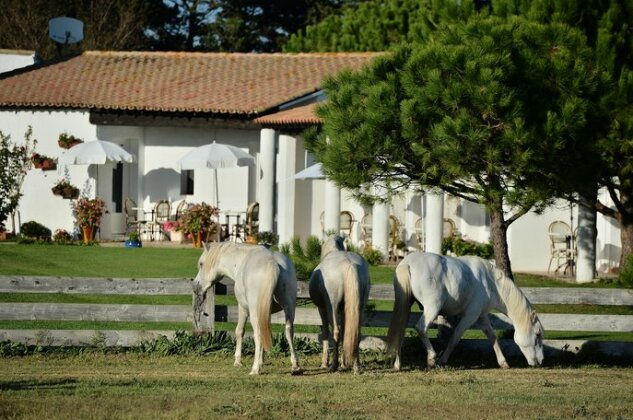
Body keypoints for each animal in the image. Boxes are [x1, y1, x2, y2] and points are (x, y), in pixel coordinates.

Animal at [193, 241, 302, 376]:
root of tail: (273, 263)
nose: (195, 285)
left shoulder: (243, 308)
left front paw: (238, 361)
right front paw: (261, 361)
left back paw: (254, 369)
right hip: (289, 308)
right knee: (288, 331)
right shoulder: (266, 313)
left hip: (254, 312)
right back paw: (295, 365)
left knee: (258, 334)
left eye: (201, 264)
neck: (240, 260)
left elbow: (240, 331)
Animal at [308, 235, 370, 372]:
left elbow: (326, 333)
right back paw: (356, 366)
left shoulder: (322, 309)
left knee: (335, 332)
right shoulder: (343, 310)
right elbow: (344, 333)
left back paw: (333, 366)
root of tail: (349, 264)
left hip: (332, 306)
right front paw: (344, 363)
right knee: (356, 333)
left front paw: (325, 363)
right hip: (360, 307)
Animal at [386, 251, 544, 370]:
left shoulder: (482, 316)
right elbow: (455, 337)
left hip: (407, 304)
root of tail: (407, 263)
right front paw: (442, 360)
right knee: (420, 328)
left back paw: (398, 364)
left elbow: (492, 337)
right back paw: (431, 358)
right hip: (432, 308)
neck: (490, 282)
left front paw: (503, 362)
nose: (541, 361)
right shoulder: (470, 316)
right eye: (537, 335)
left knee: (401, 330)